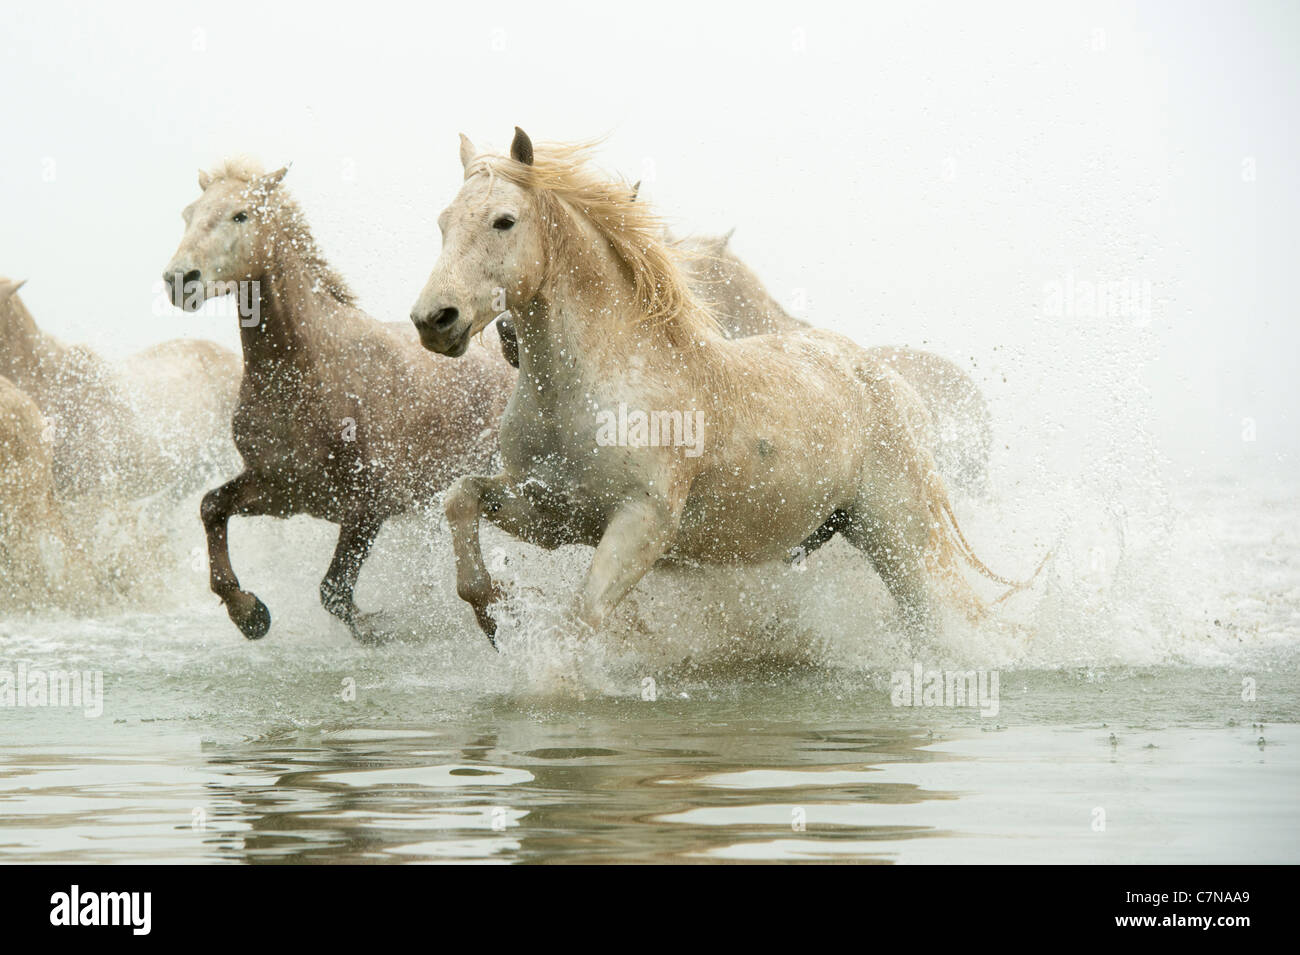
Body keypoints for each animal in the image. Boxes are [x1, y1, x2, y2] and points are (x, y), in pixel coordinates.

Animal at [166, 158, 517, 641]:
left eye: (241, 215)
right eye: (188, 213)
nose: (179, 280)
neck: (308, 377)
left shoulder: (368, 506)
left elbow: (333, 590)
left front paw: (380, 630)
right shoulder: (283, 491)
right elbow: (212, 507)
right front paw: (250, 614)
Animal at [410, 128, 1029, 641]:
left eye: (504, 221)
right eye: (442, 223)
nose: (434, 320)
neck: (588, 388)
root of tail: (891, 384)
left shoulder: (642, 523)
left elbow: (581, 617)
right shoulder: (553, 513)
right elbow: (461, 497)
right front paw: (493, 612)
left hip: (899, 539)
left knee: (937, 616)